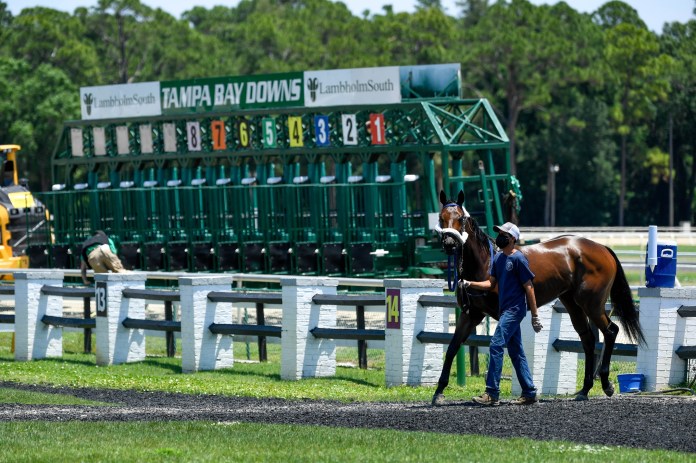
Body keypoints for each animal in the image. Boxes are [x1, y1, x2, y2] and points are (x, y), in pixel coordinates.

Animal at [432, 190, 645, 405]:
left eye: (461, 218)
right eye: (441, 217)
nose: (449, 244)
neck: (486, 263)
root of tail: (602, 247)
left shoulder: (502, 314)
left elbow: (507, 349)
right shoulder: (471, 314)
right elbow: (452, 347)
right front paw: (439, 392)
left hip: (592, 303)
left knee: (610, 331)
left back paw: (606, 384)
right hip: (572, 303)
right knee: (588, 338)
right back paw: (584, 389)